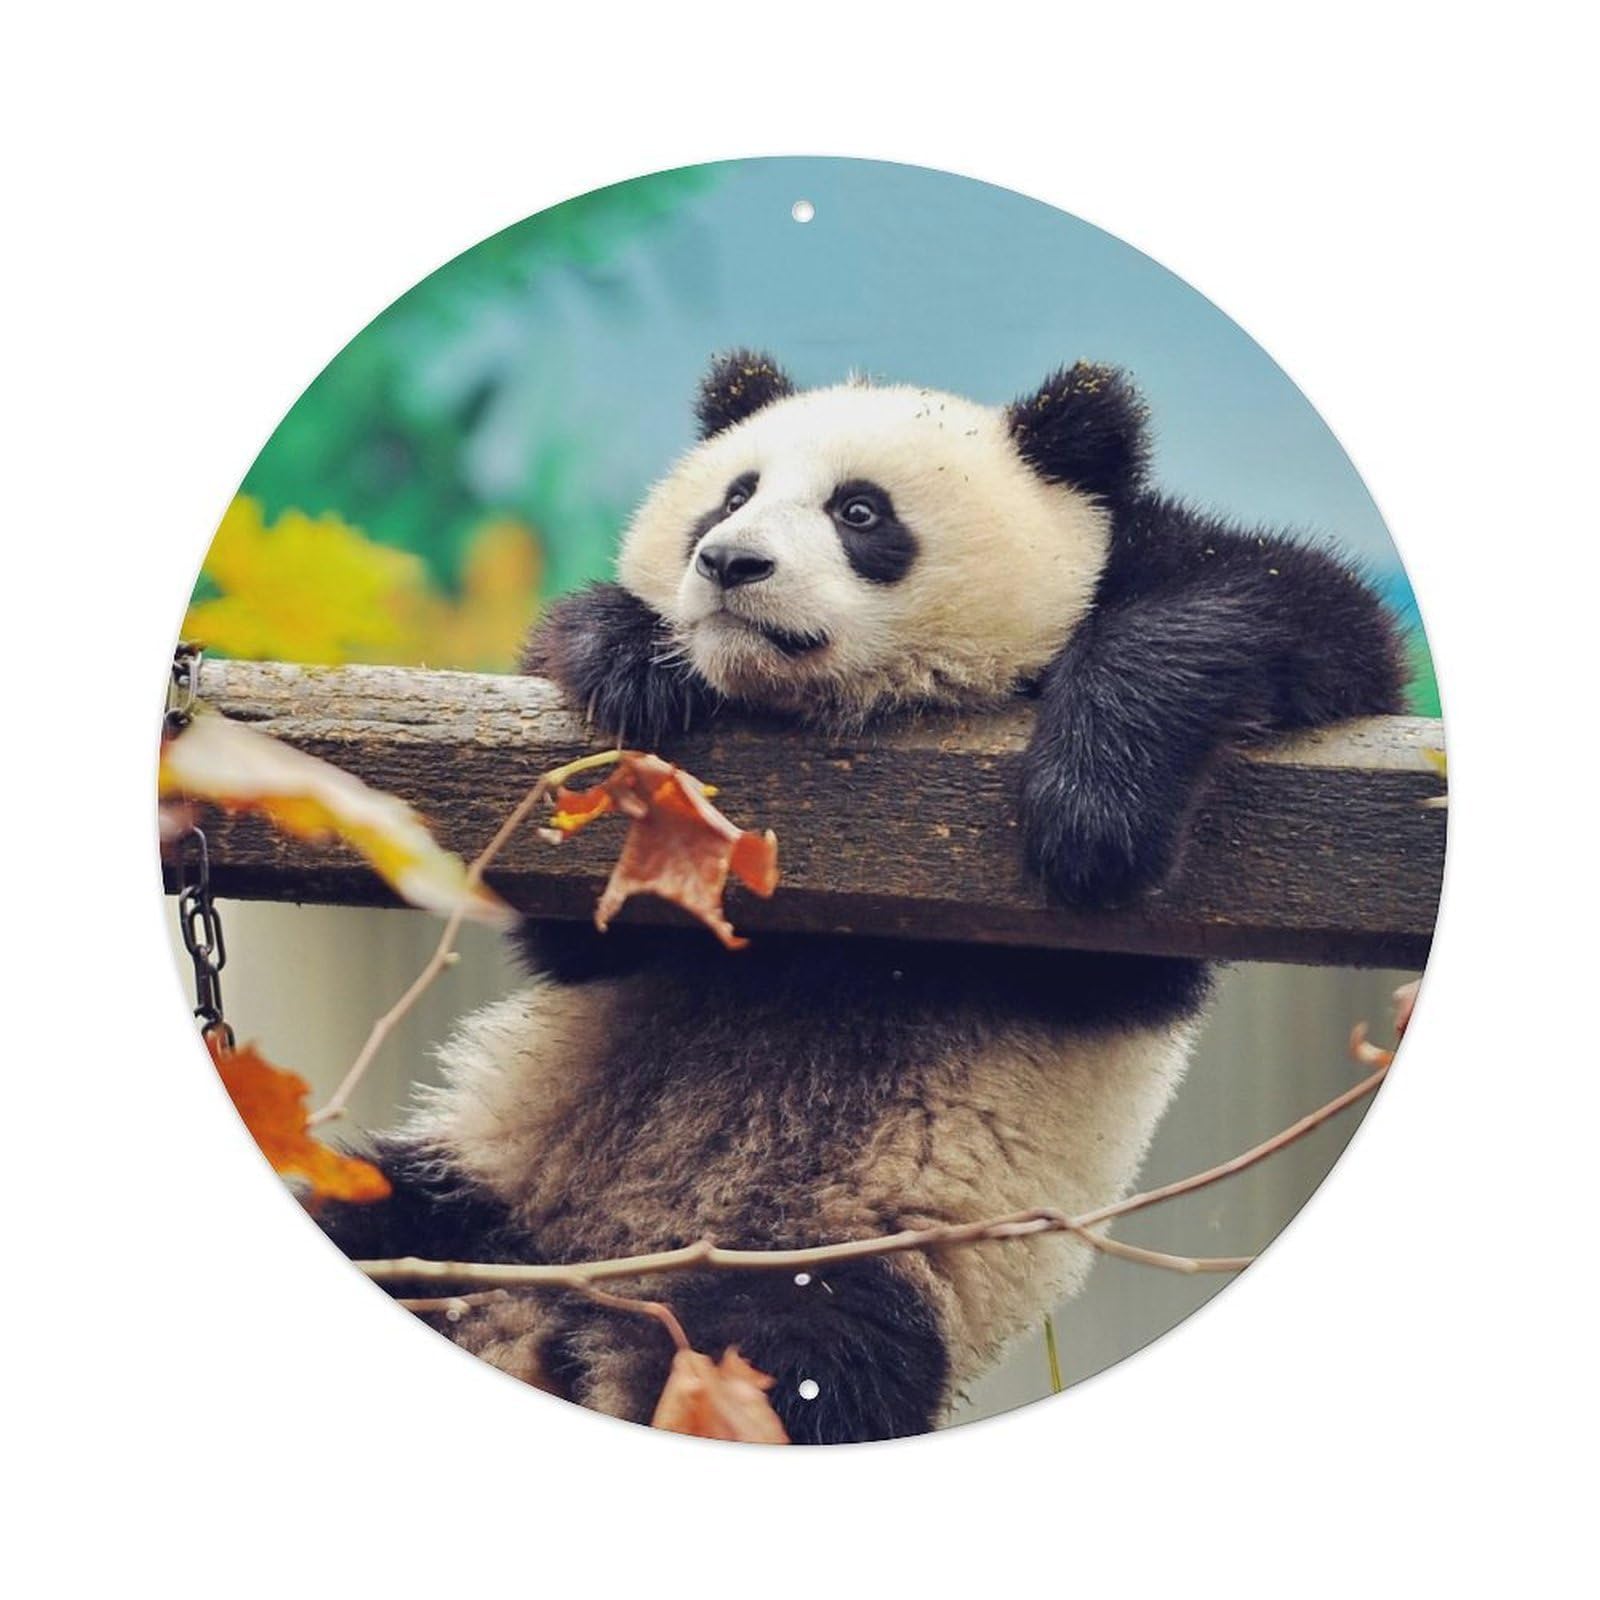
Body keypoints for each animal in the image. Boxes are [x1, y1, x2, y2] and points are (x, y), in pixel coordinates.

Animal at [319, 349, 1407, 1443]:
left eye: (860, 512)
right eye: (734, 494)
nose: (729, 563)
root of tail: (564, 1309)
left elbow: (1301, 617)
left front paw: (1094, 806)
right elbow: (585, 937)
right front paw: (627, 656)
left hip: (846, 1258)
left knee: (798, 1356)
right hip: (483, 1186)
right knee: (365, 1213)